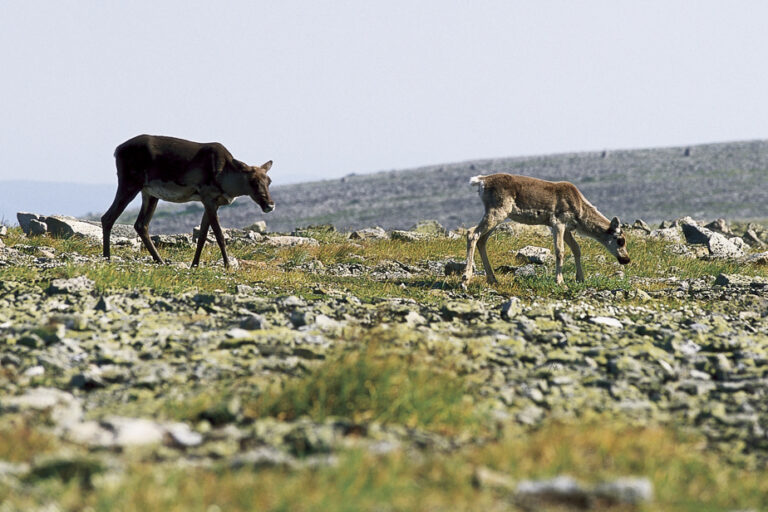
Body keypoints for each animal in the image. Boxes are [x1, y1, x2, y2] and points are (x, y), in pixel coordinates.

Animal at [101, 134, 276, 270]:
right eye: (253, 181)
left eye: (269, 181)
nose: (270, 205)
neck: (226, 177)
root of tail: (117, 150)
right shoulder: (208, 197)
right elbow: (219, 235)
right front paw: (227, 265)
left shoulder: (211, 203)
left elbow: (203, 237)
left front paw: (195, 265)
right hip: (130, 183)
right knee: (108, 218)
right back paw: (107, 258)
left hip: (150, 193)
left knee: (141, 224)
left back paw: (160, 260)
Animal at [462, 175, 632, 288]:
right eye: (620, 240)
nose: (626, 259)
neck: (580, 212)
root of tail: (482, 181)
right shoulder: (558, 223)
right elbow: (560, 251)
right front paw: (560, 281)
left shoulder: (567, 229)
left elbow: (576, 249)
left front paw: (580, 278)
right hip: (497, 211)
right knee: (472, 233)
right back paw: (466, 278)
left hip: (498, 215)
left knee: (481, 240)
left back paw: (492, 279)